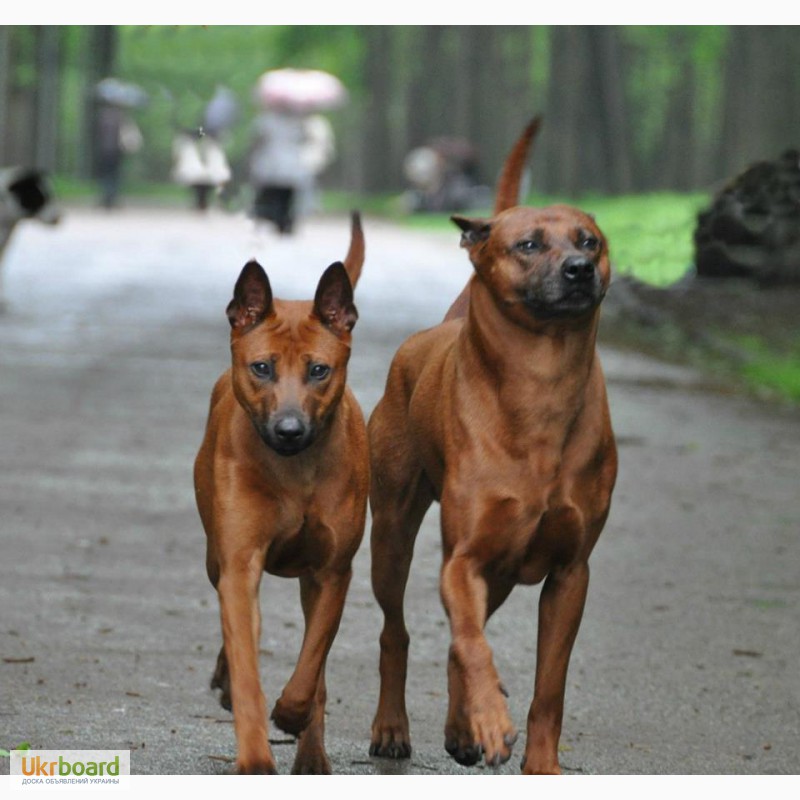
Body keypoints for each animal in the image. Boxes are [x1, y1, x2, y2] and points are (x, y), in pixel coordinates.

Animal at [194, 212, 368, 776]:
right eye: (262, 367)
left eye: (318, 370)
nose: (289, 430)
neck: (295, 471)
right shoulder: (239, 559)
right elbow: (247, 663)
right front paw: (254, 757)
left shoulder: (332, 571)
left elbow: (313, 660)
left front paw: (293, 715)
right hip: (216, 556)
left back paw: (311, 754)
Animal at [368, 120, 620, 776]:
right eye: (528, 245)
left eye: (590, 240)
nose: (579, 269)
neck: (542, 385)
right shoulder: (464, 560)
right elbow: (472, 645)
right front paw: (488, 719)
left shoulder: (570, 574)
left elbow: (547, 686)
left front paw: (539, 763)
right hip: (393, 534)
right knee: (400, 630)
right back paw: (393, 728)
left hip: (504, 571)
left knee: (463, 636)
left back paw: (460, 728)